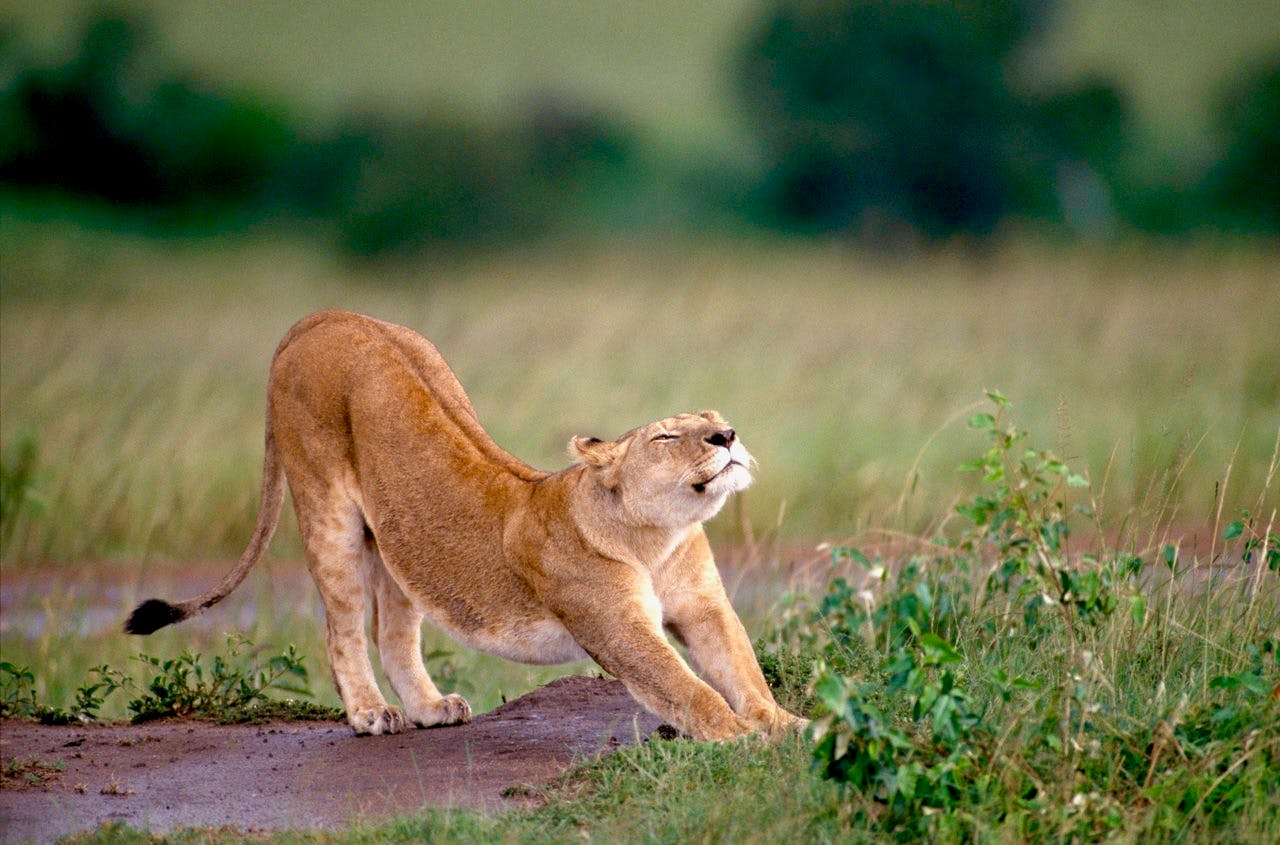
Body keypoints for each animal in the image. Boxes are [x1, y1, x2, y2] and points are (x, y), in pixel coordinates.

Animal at [125, 310, 804, 740]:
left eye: (714, 418)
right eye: (667, 436)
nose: (727, 435)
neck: (659, 538)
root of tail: (325, 316)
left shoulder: (705, 608)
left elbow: (743, 671)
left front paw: (786, 724)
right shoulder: (618, 629)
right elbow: (688, 688)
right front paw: (741, 737)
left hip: (399, 536)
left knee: (394, 632)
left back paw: (429, 708)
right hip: (328, 513)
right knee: (342, 630)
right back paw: (370, 715)